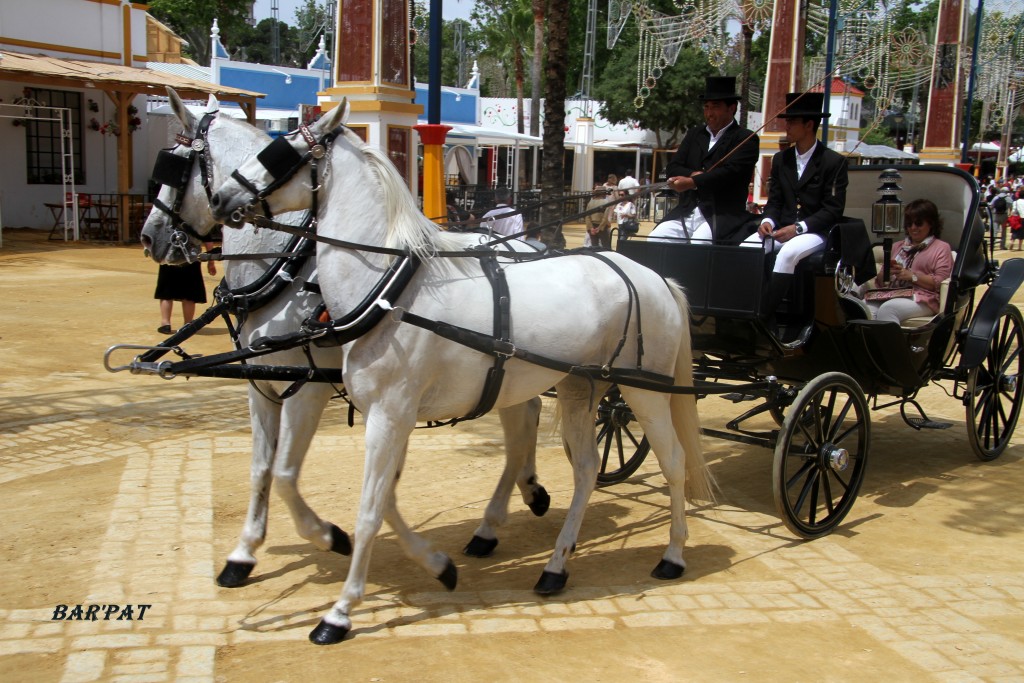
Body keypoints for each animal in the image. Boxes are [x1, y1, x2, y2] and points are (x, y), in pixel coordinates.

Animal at [139, 90, 552, 589]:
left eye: (174, 166)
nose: (149, 237)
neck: (284, 271)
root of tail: (526, 246)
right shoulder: (260, 386)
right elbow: (261, 468)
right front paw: (244, 553)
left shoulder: (306, 388)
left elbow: (285, 472)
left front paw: (330, 536)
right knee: (526, 414)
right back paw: (524, 494)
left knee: (522, 422)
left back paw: (495, 520)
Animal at [211, 102, 716, 647]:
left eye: (279, 153)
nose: (221, 198)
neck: (390, 291)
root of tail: (655, 277)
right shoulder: (392, 418)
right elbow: (383, 500)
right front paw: (437, 566)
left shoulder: (387, 414)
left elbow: (369, 511)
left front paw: (340, 611)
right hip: (578, 388)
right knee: (584, 470)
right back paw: (555, 566)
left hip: (646, 392)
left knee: (673, 462)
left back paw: (672, 555)